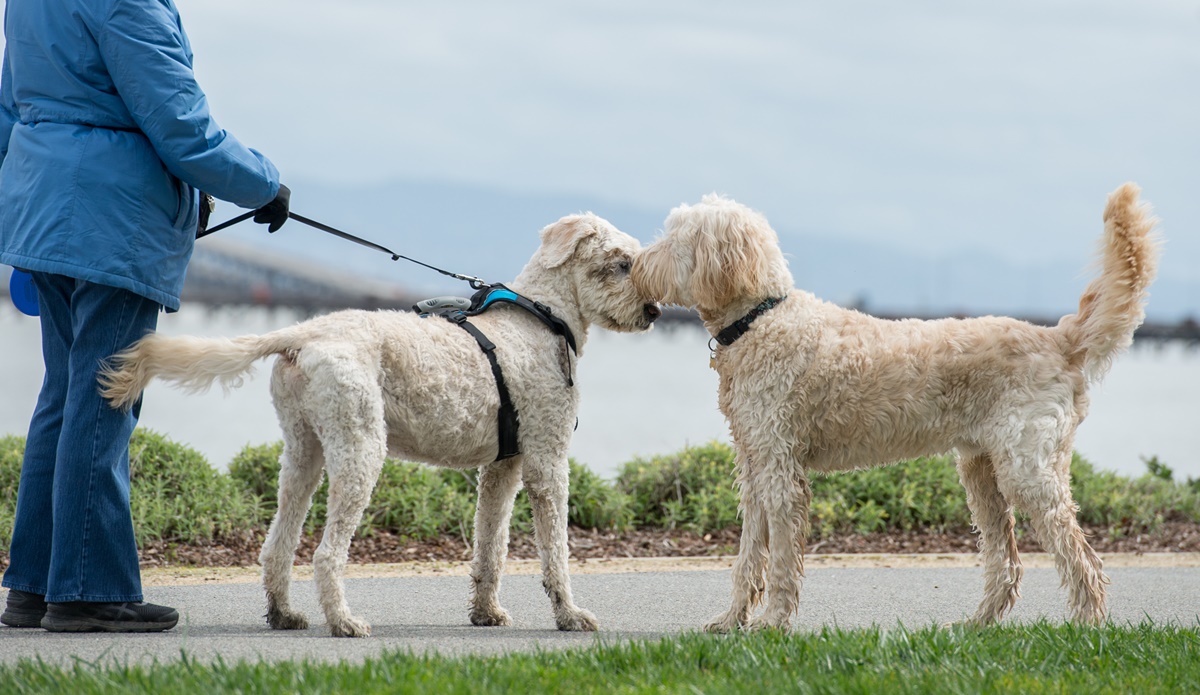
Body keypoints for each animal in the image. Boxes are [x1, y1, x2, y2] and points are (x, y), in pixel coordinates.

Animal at [99, 214, 662, 638]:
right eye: (621, 264)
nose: (655, 310)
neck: (540, 319)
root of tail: (301, 335)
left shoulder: (503, 467)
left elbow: (491, 547)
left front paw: (486, 612)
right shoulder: (547, 460)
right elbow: (556, 552)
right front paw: (571, 615)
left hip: (303, 452)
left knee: (277, 547)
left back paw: (285, 614)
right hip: (360, 448)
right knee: (326, 555)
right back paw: (344, 622)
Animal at [638, 183, 1161, 628]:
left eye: (674, 238)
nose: (636, 264)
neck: (760, 319)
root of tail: (1059, 338)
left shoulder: (782, 472)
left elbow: (783, 558)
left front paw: (772, 624)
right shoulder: (756, 466)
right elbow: (748, 556)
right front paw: (731, 621)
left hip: (1027, 470)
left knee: (1080, 557)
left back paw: (1086, 625)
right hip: (981, 472)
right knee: (1007, 562)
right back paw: (976, 626)